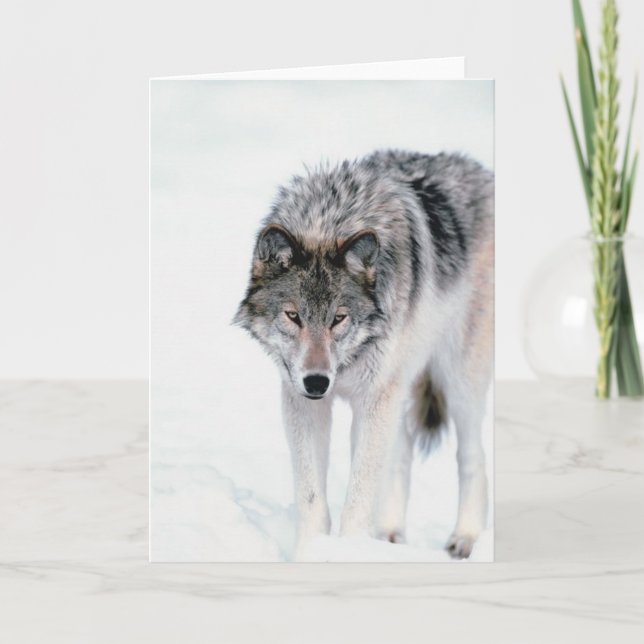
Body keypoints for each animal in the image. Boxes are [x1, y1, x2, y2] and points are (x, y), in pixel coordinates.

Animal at [235, 149, 493, 560]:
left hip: (457, 381)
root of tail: (480, 170)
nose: (317, 382)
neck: (331, 221)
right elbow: (311, 496)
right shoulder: (302, 401)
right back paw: (389, 535)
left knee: (471, 457)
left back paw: (464, 539)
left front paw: (349, 551)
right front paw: (310, 553)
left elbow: (358, 496)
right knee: (401, 453)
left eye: (338, 318)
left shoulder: (373, 397)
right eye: (294, 316)